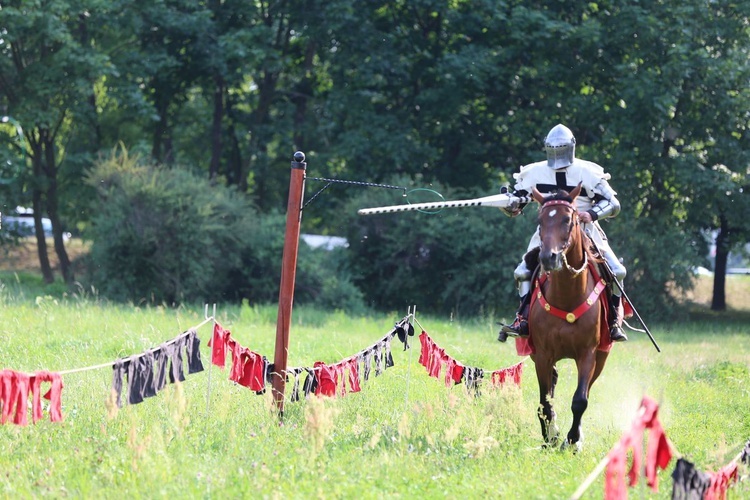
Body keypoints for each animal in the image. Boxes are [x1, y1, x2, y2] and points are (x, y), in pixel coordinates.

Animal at [528, 184, 612, 450]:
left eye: (568, 219)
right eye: (540, 220)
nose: (548, 257)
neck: (567, 296)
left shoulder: (588, 354)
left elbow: (580, 400)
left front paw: (573, 439)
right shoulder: (542, 355)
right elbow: (545, 400)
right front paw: (550, 438)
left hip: (601, 358)